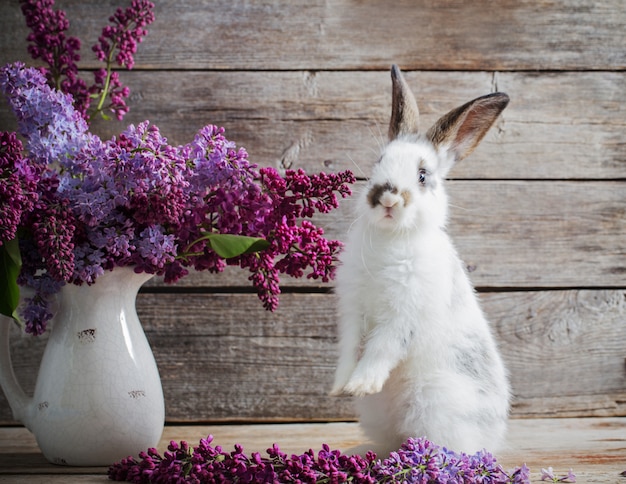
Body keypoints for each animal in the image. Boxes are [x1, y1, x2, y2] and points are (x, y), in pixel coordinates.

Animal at [330, 65, 510, 458]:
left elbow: (381, 348)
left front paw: (362, 384)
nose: (386, 197)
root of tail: (492, 439)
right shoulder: (353, 310)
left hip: (435, 408)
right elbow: (349, 348)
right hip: (378, 418)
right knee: (389, 441)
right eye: (378, 162)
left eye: (423, 176)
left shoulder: (404, 315)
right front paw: (341, 386)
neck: (392, 238)